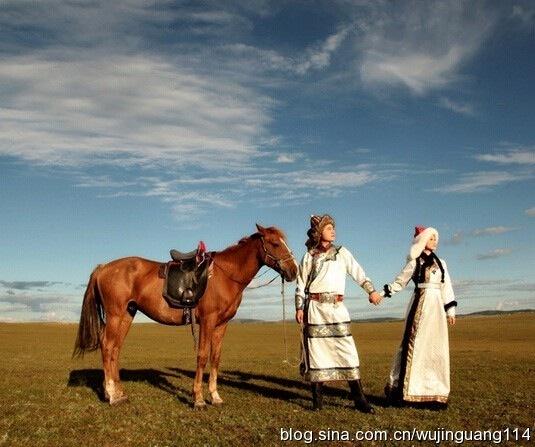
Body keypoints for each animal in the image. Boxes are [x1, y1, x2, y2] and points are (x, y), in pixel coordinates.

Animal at [71, 224, 300, 410]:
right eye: (274, 243)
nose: (294, 271)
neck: (225, 276)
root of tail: (103, 267)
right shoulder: (207, 321)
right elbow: (202, 356)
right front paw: (198, 399)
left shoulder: (222, 325)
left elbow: (215, 358)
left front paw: (215, 397)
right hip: (115, 315)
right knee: (107, 345)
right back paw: (111, 395)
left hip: (127, 314)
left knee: (115, 349)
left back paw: (118, 393)